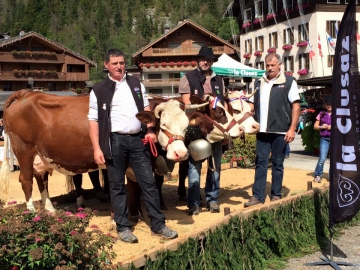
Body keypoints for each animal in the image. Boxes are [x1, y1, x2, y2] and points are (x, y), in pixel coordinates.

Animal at [0, 89, 191, 212]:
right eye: (163, 125)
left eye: (186, 126)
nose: (181, 154)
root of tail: (26, 94)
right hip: (23, 150)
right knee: (26, 180)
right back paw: (32, 212)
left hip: (41, 156)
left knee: (41, 179)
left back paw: (49, 209)